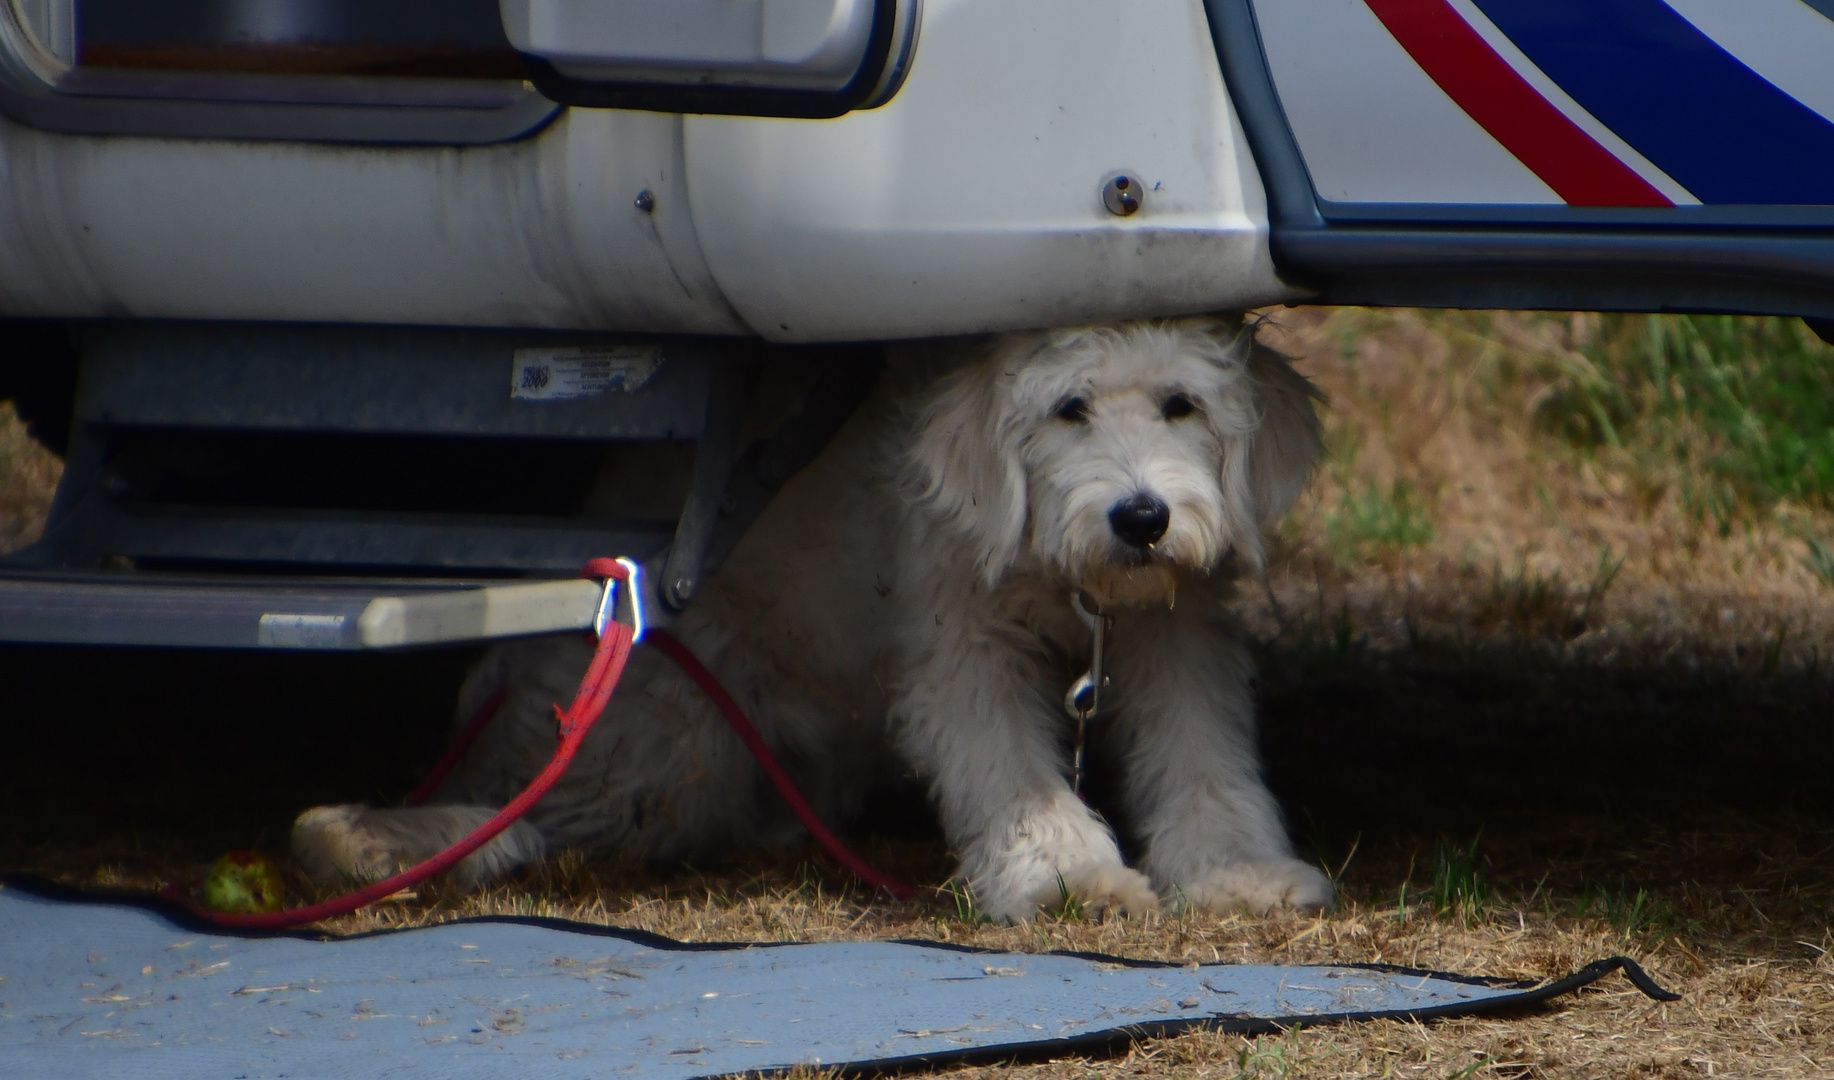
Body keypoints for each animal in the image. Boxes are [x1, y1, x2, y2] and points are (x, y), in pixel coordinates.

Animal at [297, 317, 1335, 916]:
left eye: (1182, 404)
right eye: (1069, 409)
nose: (1142, 517)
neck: (1069, 581)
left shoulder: (1176, 633)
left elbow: (1202, 751)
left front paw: (1236, 870)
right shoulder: (961, 648)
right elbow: (1010, 770)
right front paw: (1069, 876)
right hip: (672, 749)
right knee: (534, 799)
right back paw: (388, 836)